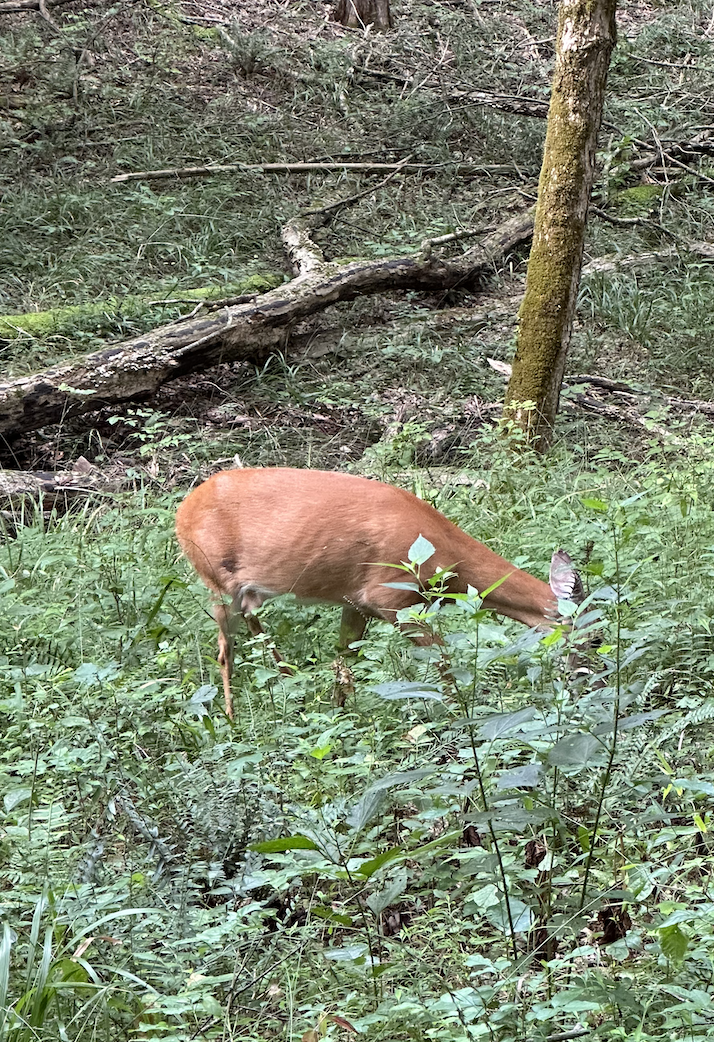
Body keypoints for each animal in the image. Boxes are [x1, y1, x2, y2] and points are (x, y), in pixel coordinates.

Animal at [175, 467, 584, 719]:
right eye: (590, 638)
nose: (587, 678)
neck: (444, 555)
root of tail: (183, 509)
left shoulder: (355, 602)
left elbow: (344, 659)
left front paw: (340, 713)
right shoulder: (388, 598)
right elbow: (443, 658)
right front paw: (459, 713)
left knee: (252, 620)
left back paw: (291, 681)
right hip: (215, 577)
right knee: (225, 650)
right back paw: (231, 719)